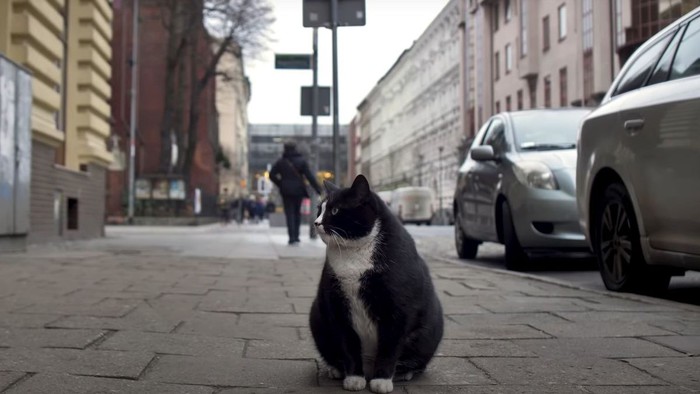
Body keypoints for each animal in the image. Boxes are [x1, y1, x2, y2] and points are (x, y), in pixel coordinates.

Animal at [310, 175, 442, 394]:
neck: (354, 256)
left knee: (417, 361)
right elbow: (348, 344)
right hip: (317, 317)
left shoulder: (398, 309)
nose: (316, 222)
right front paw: (354, 378)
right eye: (319, 209)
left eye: (335, 210)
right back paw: (336, 369)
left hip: (429, 332)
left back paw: (403, 373)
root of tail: (369, 368)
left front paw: (382, 381)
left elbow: (389, 346)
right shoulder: (337, 306)